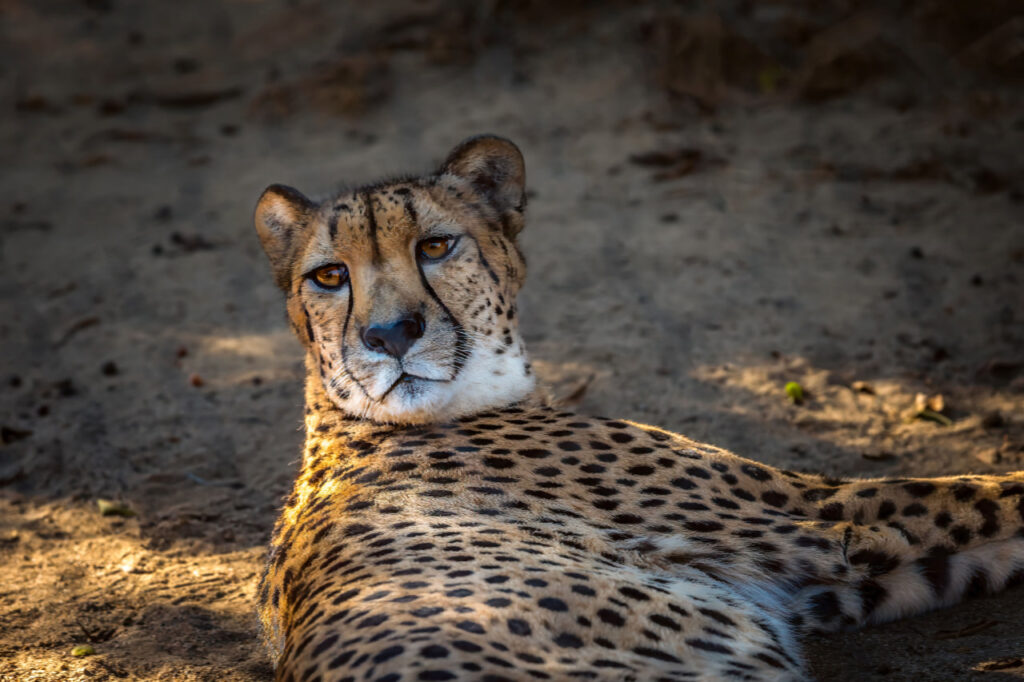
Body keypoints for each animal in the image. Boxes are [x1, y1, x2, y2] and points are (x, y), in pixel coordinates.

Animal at [253, 135, 1024, 682]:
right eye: (330, 276)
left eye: (436, 245)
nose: (389, 334)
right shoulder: (821, 524)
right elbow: (983, 492)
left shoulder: (820, 584)